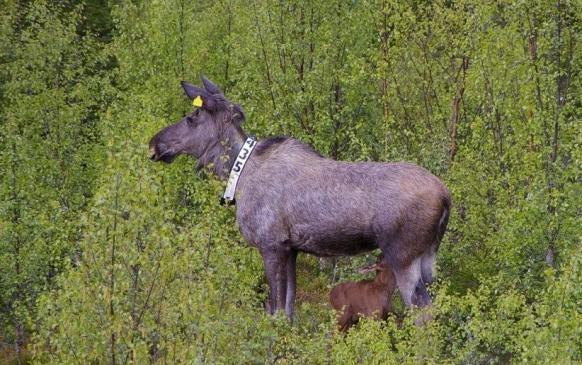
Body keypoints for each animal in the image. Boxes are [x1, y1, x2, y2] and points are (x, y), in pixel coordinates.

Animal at [149, 76, 452, 318]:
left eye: (192, 117)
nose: (155, 143)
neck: (238, 177)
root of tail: (446, 197)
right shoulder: (291, 249)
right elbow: (289, 309)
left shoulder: (270, 245)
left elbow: (275, 311)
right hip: (423, 259)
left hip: (403, 255)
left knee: (422, 314)